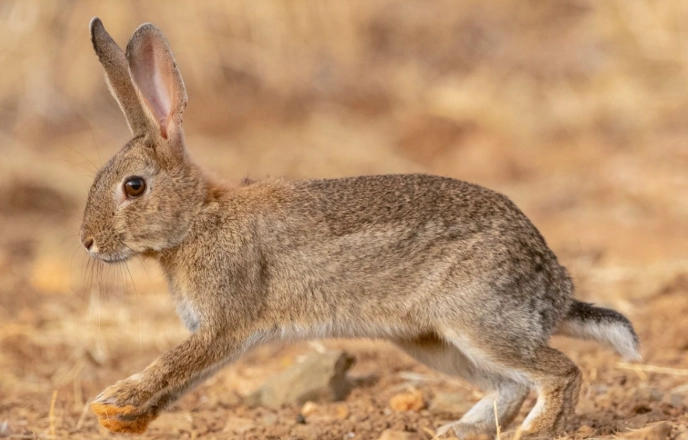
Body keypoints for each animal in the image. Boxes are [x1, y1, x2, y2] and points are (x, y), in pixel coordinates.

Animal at [81, 17, 640, 439]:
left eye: (134, 186)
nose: (87, 242)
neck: (198, 218)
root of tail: (554, 289)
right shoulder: (219, 337)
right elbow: (182, 380)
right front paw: (122, 417)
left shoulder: (226, 323)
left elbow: (172, 365)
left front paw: (115, 397)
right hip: (432, 340)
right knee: (511, 383)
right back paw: (458, 430)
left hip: (478, 321)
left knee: (561, 372)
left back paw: (534, 431)